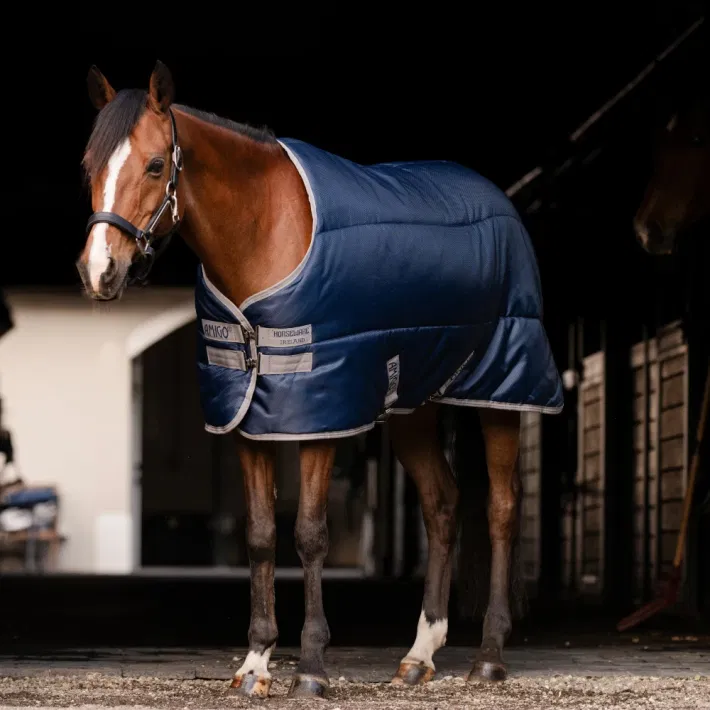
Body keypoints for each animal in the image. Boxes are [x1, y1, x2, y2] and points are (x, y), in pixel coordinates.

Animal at [76, 61, 564, 699]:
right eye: (89, 165)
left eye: (156, 165)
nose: (99, 272)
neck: (264, 233)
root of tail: (498, 201)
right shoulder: (247, 418)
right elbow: (261, 536)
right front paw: (255, 664)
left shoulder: (322, 415)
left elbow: (309, 534)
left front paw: (310, 668)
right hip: (415, 407)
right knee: (442, 504)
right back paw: (419, 654)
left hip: (502, 391)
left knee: (502, 508)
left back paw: (488, 657)